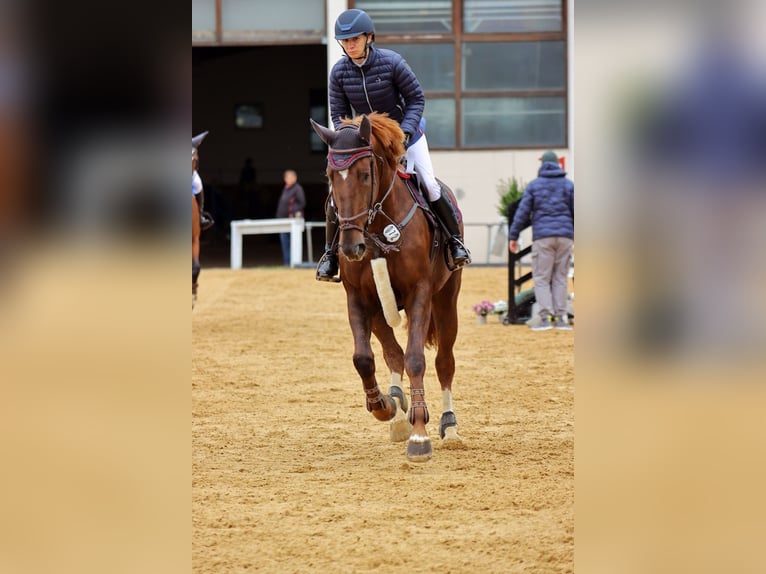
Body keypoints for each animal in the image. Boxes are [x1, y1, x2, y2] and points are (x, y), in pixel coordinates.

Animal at [311, 112, 464, 462]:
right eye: (330, 175)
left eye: (365, 174)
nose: (351, 247)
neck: (379, 228)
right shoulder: (359, 297)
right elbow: (364, 358)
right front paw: (382, 406)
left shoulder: (420, 293)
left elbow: (417, 359)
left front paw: (420, 435)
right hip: (381, 307)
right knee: (392, 352)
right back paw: (395, 405)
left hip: (446, 299)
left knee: (444, 361)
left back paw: (449, 426)